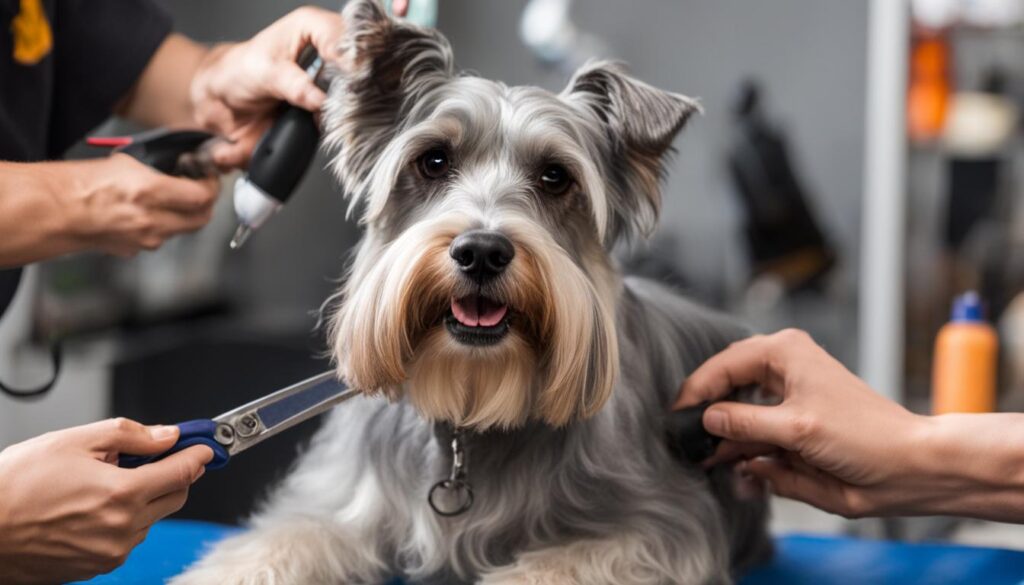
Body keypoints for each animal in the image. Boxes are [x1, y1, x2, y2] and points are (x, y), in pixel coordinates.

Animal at [176, 1, 770, 585]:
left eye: (556, 176)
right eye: (434, 160)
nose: (481, 251)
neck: (471, 411)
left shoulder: (659, 529)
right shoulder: (330, 507)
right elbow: (273, 547)